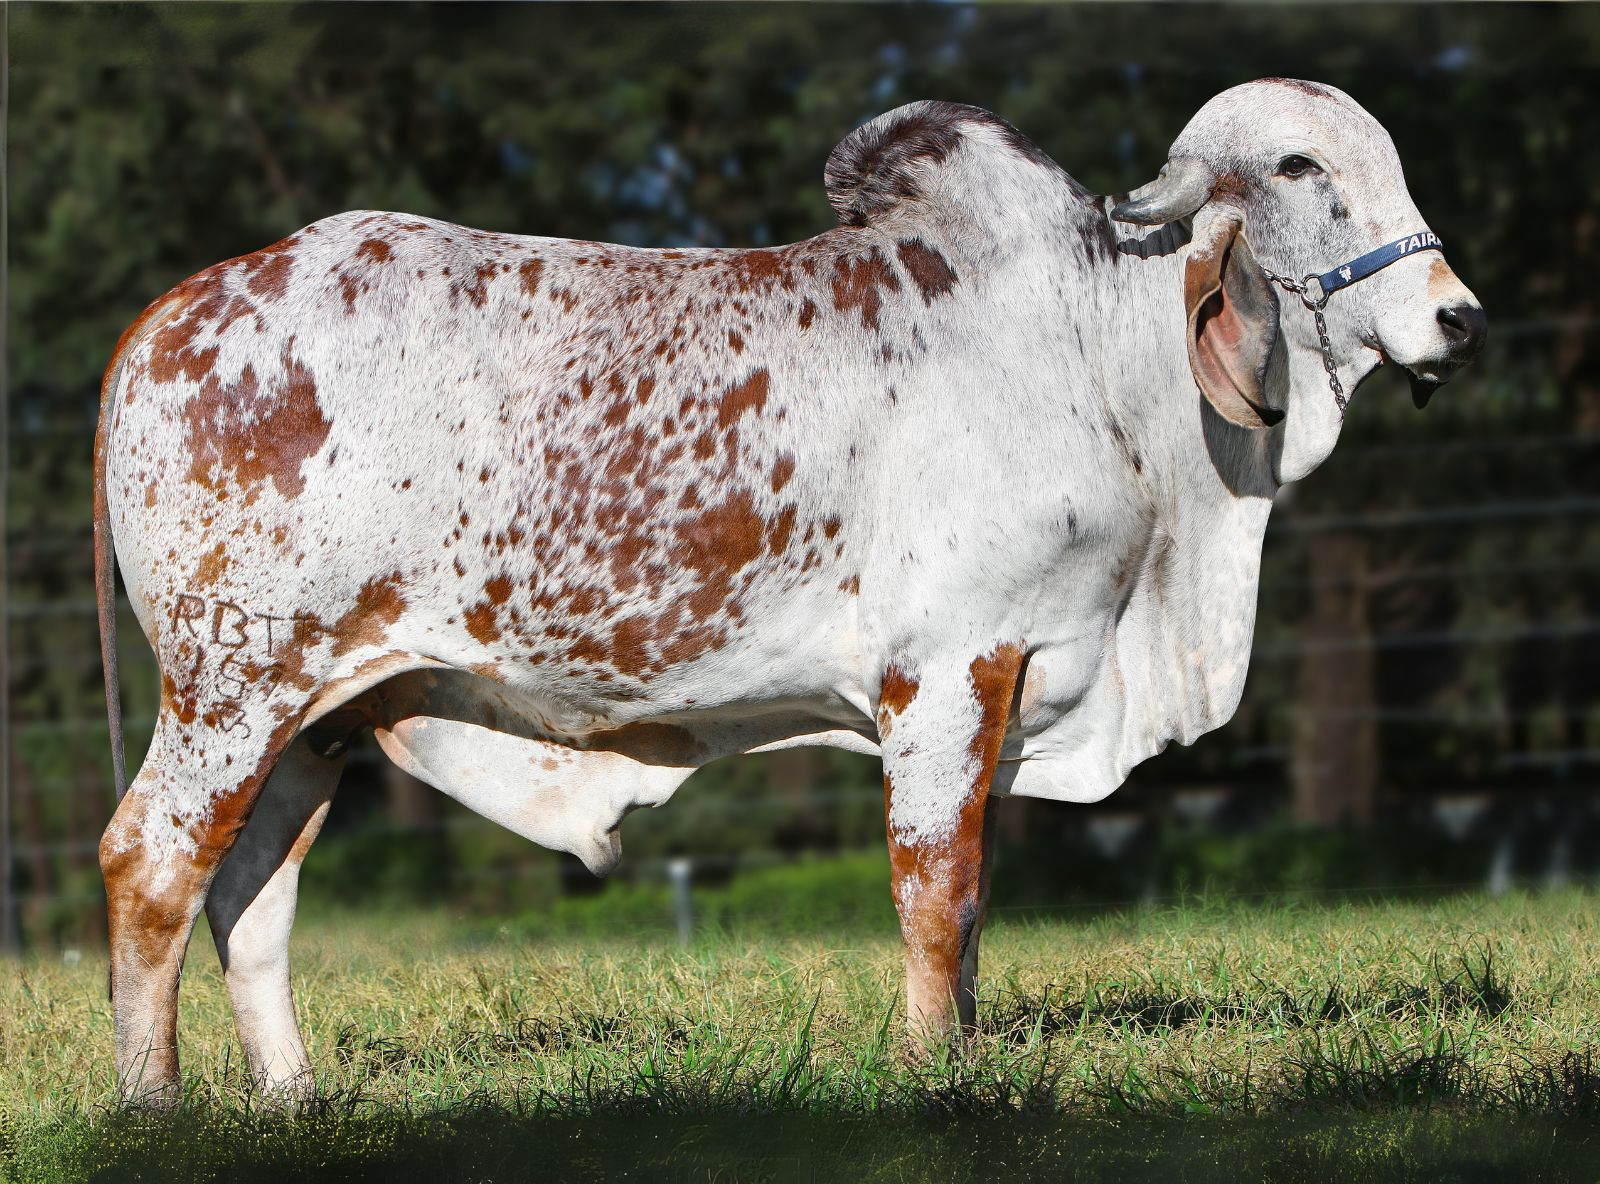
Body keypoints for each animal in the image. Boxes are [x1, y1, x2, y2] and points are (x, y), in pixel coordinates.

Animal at [95, 78, 1485, 1101]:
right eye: (1302, 169)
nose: (1457, 317)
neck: (1092, 352)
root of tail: (172, 309)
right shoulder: (945, 671)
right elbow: (936, 890)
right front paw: (929, 1072)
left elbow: (974, 900)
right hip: (233, 685)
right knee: (149, 862)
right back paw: (154, 1103)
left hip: (317, 717)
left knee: (251, 895)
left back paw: (291, 1094)